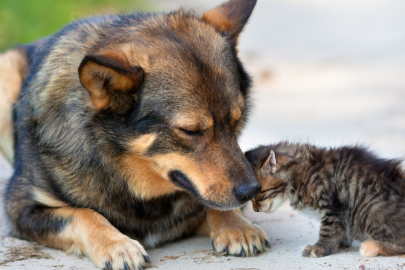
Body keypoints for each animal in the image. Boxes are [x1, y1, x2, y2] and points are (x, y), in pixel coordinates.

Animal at [1, 1, 270, 268]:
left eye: (236, 120)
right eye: (190, 131)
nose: (251, 191)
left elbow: (213, 205)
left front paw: (237, 227)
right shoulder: (21, 208)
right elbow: (82, 214)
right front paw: (116, 245)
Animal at [243, 141, 404, 258]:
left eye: (259, 196)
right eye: (250, 199)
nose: (255, 210)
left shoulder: (333, 208)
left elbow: (328, 231)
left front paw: (318, 248)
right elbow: (340, 231)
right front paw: (341, 243)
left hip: (369, 211)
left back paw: (371, 246)